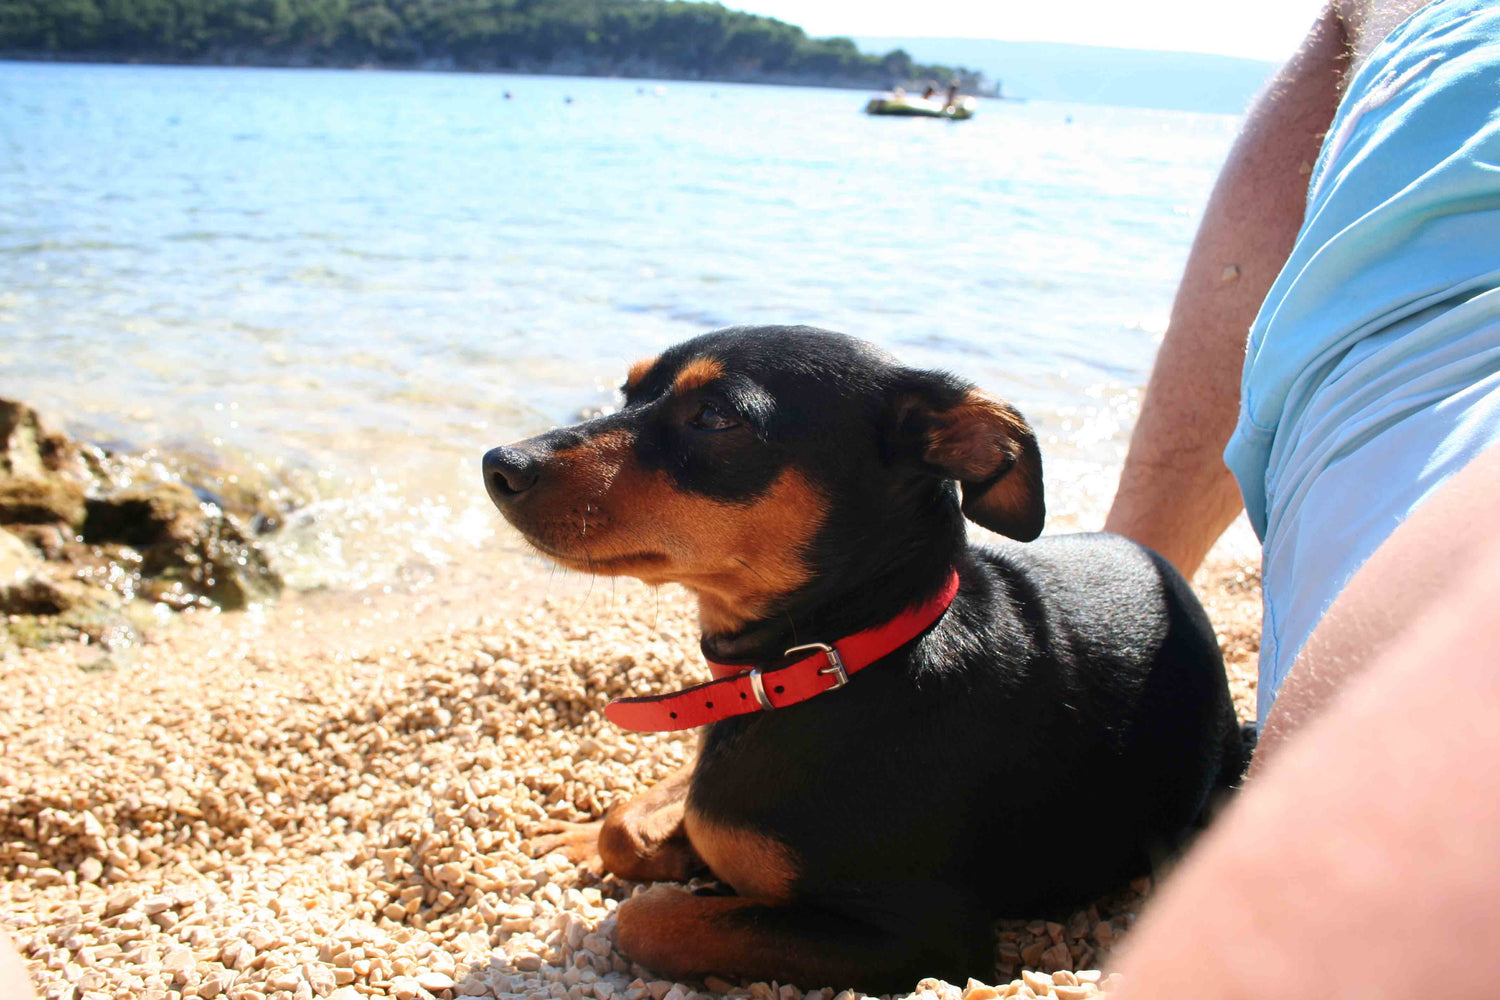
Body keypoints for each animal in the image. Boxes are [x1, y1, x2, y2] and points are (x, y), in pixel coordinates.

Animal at [483, 328, 1242, 995]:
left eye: (716, 416)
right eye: (627, 390)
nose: (498, 464)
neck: (825, 660)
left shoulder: (927, 937)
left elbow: (646, 920)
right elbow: (630, 827)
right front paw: (595, 838)